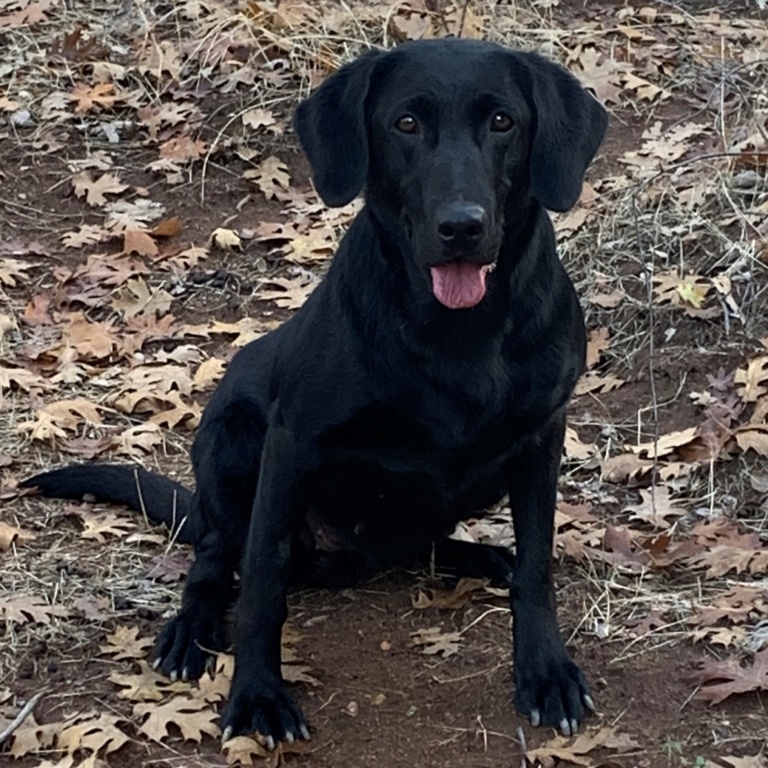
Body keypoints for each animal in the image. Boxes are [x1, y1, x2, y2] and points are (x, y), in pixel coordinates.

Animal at [24, 39, 608, 748]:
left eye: (503, 122)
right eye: (405, 124)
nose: (462, 227)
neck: (457, 330)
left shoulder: (541, 437)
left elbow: (537, 565)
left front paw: (545, 672)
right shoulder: (291, 442)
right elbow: (263, 578)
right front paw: (257, 694)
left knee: (414, 547)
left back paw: (477, 555)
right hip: (230, 437)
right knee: (215, 555)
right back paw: (192, 631)